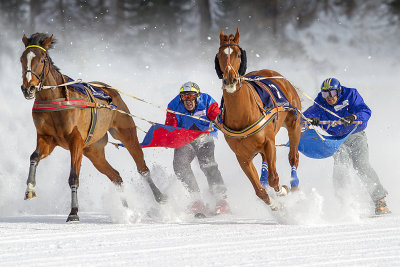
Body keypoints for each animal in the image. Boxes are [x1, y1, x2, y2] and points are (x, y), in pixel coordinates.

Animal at [19, 33, 166, 222]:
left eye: (42, 59)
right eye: (22, 59)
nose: (28, 88)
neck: (56, 101)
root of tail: (109, 89)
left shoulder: (76, 141)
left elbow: (73, 177)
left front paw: (74, 212)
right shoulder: (46, 138)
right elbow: (34, 157)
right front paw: (29, 189)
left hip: (125, 133)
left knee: (143, 169)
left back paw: (160, 197)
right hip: (93, 151)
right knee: (116, 176)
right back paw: (126, 210)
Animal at [214, 28, 302, 209]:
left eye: (238, 54)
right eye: (219, 55)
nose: (230, 79)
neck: (242, 116)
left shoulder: (269, 143)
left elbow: (274, 178)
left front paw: (282, 191)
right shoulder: (242, 156)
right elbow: (259, 190)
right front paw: (275, 206)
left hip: (294, 124)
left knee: (293, 157)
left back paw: (294, 185)